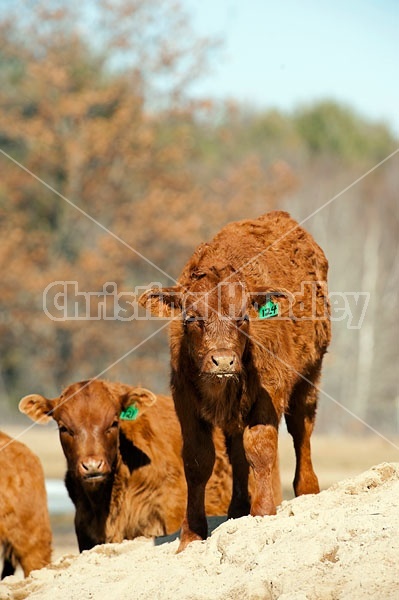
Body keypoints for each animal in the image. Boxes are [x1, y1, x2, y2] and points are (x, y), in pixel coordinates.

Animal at [141, 210, 332, 548]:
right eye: (192, 318)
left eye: (243, 317)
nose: (223, 361)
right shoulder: (185, 402)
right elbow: (198, 461)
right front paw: (191, 533)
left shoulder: (269, 394)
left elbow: (260, 449)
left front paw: (263, 513)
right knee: (237, 451)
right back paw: (238, 509)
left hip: (309, 377)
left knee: (301, 430)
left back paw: (306, 489)